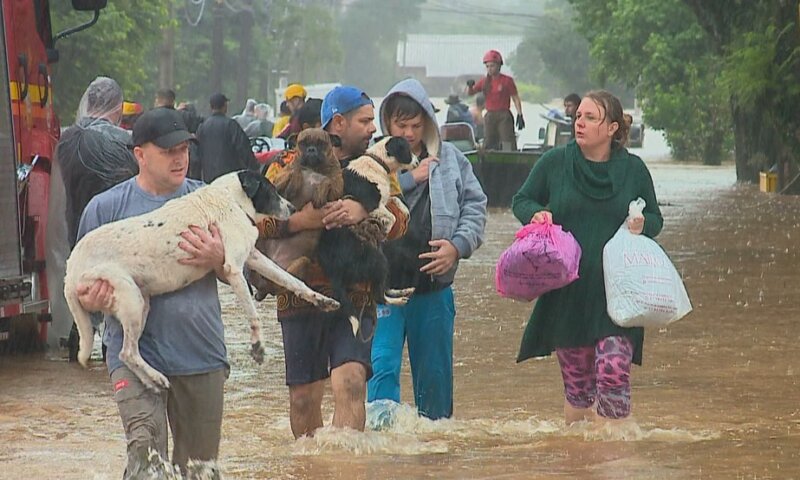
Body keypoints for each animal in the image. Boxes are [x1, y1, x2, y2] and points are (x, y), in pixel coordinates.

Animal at [250, 128, 344, 300]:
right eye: (303, 143)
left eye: (321, 143)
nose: (311, 149)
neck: (313, 169)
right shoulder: (277, 185)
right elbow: (293, 172)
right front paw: (296, 176)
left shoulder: (336, 193)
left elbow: (326, 181)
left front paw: (320, 191)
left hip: (301, 263)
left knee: (283, 285)